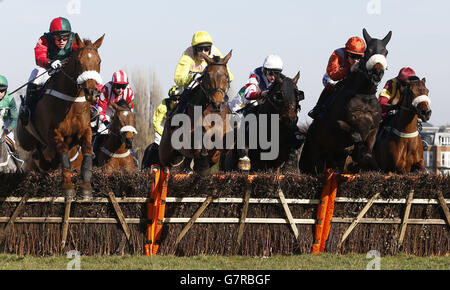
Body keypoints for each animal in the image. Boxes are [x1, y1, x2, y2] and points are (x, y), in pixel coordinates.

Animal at [16, 34, 104, 197]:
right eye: (78, 61)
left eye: (99, 61)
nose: (92, 92)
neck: (71, 101)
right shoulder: (54, 134)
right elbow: (63, 153)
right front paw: (67, 186)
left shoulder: (85, 131)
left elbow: (87, 150)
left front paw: (86, 186)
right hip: (29, 140)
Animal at [300, 28, 392, 174]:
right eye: (368, 51)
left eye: (386, 52)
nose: (377, 72)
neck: (364, 94)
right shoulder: (335, 125)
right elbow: (353, 133)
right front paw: (353, 148)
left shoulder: (374, 127)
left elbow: (367, 151)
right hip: (309, 157)